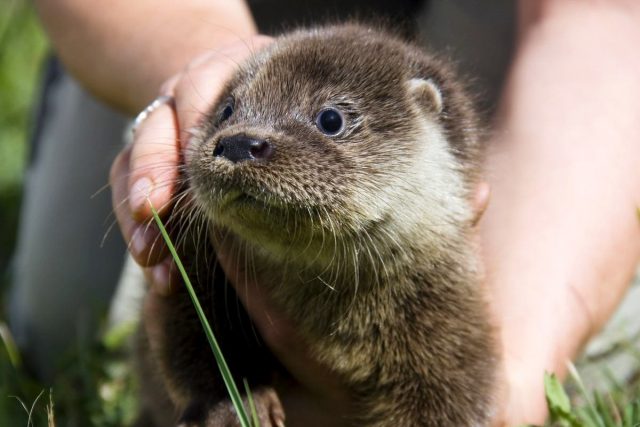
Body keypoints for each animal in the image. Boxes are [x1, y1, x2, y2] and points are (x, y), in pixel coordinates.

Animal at [134, 24, 496, 427]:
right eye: (227, 109)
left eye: (331, 119)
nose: (240, 143)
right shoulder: (197, 269)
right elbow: (193, 333)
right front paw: (231, 405)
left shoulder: (449, 324)